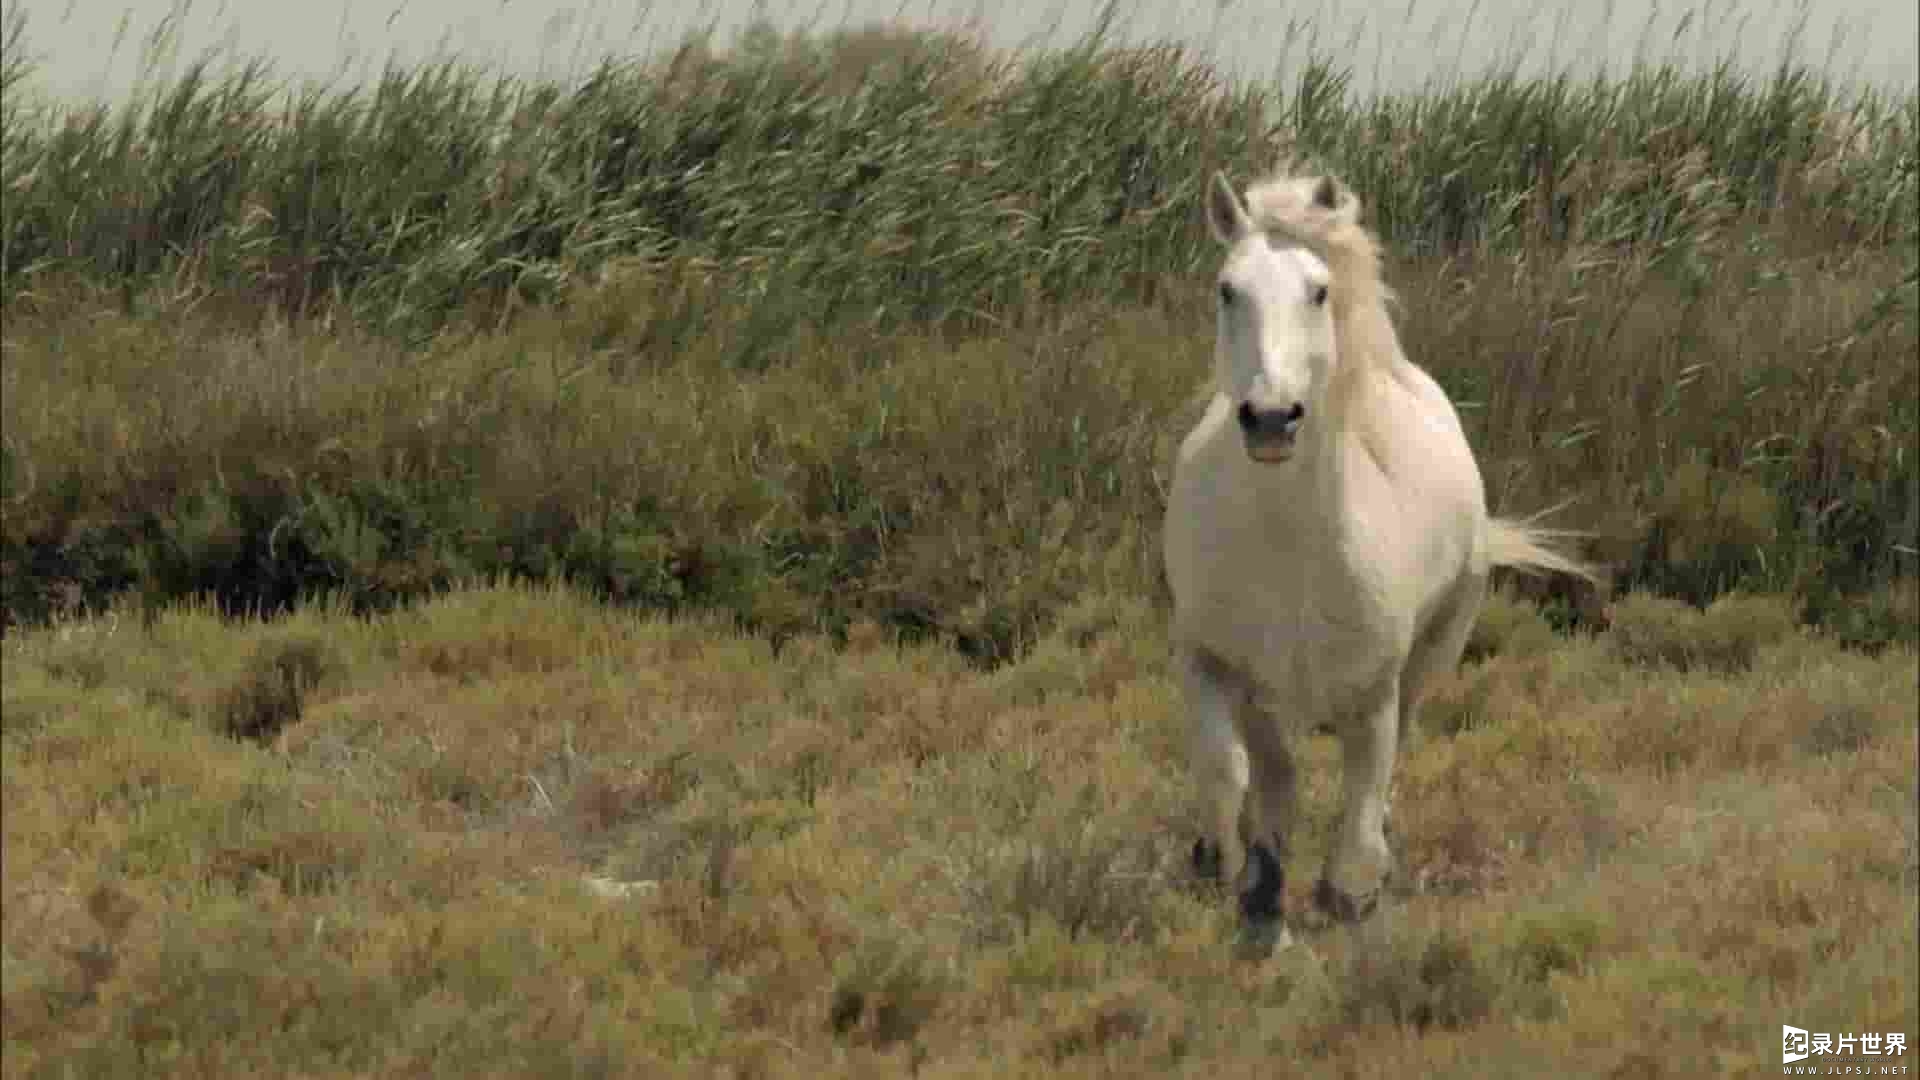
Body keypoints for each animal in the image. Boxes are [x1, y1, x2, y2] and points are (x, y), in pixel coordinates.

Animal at [1159, 161, 1597, 941]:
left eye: (1319, 290)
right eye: (1227, 289)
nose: (1270, 419)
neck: (1285, 547)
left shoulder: (1373, 694)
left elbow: (1362, 799)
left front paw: (1349, 891)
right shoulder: (1208, 661)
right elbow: (1230, 771)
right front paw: (1237, 871)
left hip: (1435, 650)